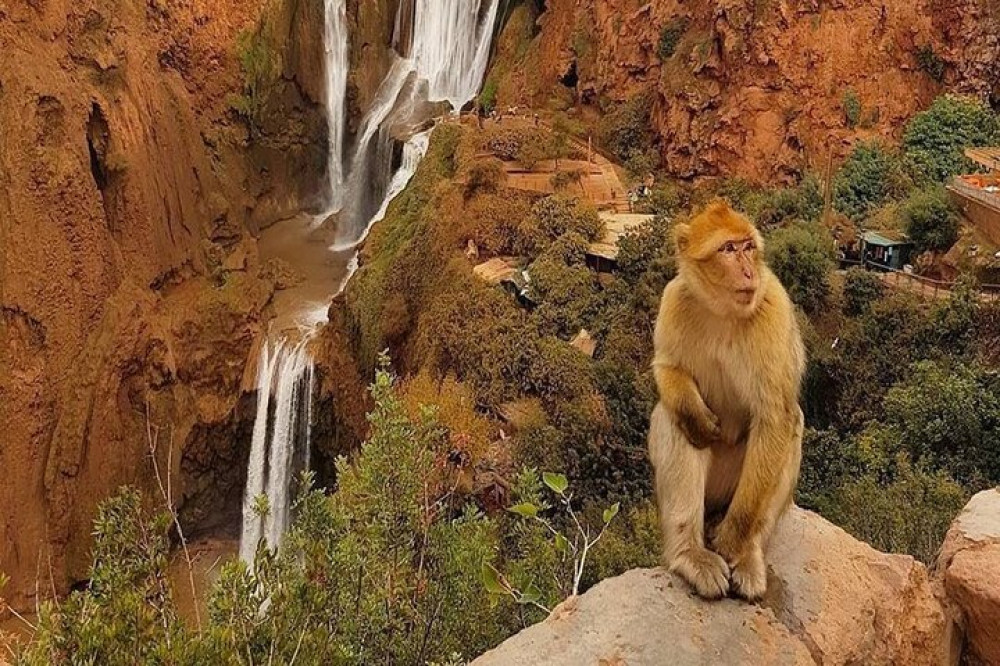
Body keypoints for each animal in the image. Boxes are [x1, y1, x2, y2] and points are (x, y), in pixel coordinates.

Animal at [648, 200, 804, 600]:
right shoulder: (674, 299)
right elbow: (667, 367)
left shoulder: (774, 309)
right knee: (673, 420)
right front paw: (696, 415)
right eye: (728, 249)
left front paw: (733, 540)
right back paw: (690, 554)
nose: (749, 271)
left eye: (749, 246)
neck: (722, 311)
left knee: (792, 424)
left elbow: (775, 416)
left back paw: (748, 552)